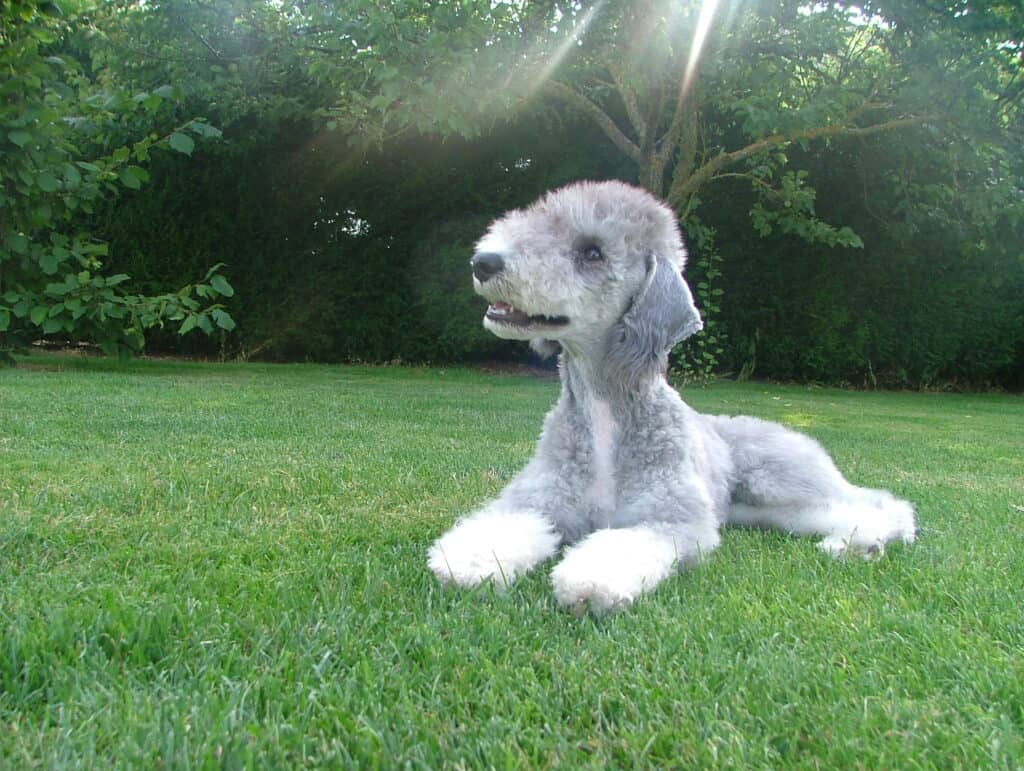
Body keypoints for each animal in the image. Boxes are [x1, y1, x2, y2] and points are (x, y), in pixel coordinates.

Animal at [423, 180, 913, 606]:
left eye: (592, 252)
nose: (484, 262)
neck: (605, 412)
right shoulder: (538, 501)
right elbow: (503, 525)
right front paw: (469, 561)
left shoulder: (671, 517)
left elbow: (624, 544)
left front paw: (590, 580)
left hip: (781, 478)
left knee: (880, 504)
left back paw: (863, 543)